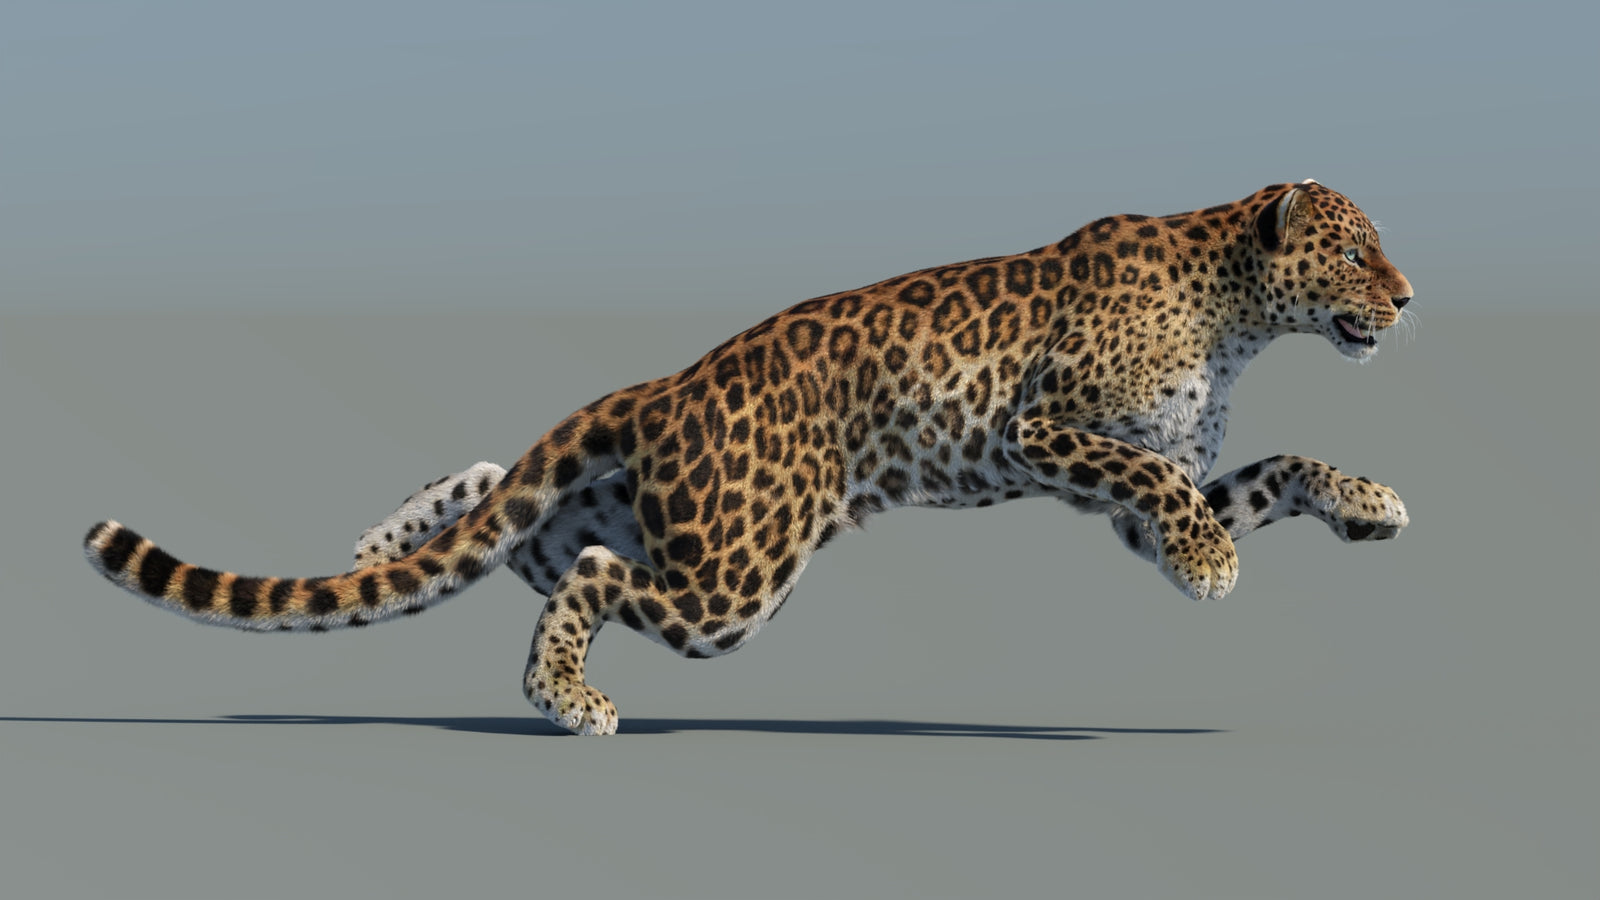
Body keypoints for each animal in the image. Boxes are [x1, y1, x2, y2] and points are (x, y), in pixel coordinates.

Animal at [84, 179, 1414, 735]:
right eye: (1355, 252)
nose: (1405, 299)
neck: (1238, 312)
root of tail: (668, 384)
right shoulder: (1047, 428)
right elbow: (1162, 483)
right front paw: (1212, 568)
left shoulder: (1136, 486)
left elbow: (1271, 467)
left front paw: (1370, 503)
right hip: (733, 576)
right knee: (590, 583)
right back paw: (568, 701)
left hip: (625, 520)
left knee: (504, 511)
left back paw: (385, 538)